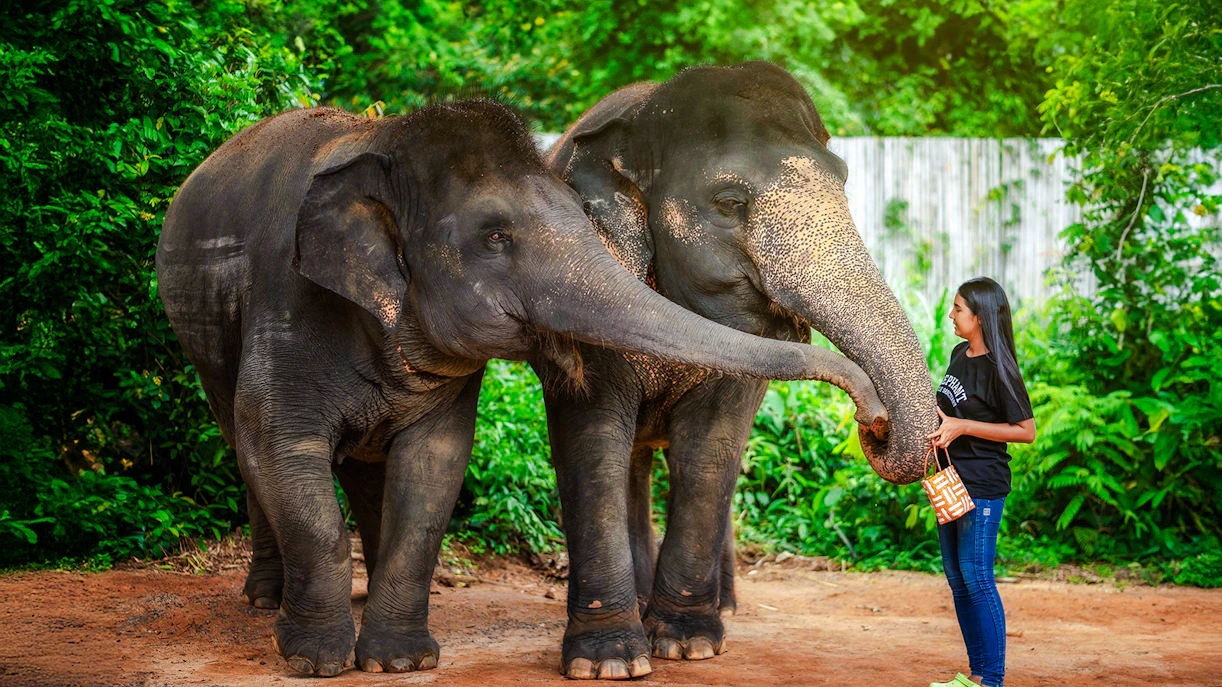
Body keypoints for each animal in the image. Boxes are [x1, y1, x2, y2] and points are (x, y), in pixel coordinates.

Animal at [155, 98, 888, 677]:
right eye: (496, 237)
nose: (875, 419)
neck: (385, 143)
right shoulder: (287, 303)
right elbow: (280, 449)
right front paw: (315, 660)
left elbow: (435, 465)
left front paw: (398, 662)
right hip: (200, 328)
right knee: (242, 441)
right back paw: (263, 600)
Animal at [534, 62, 939, 679]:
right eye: (728, 202)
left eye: (845, 180)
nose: (875, 421)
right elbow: (592, 442)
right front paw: (607, 662)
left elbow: (711, 447)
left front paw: (688, 644)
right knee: (631, 461)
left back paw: (720, 605)